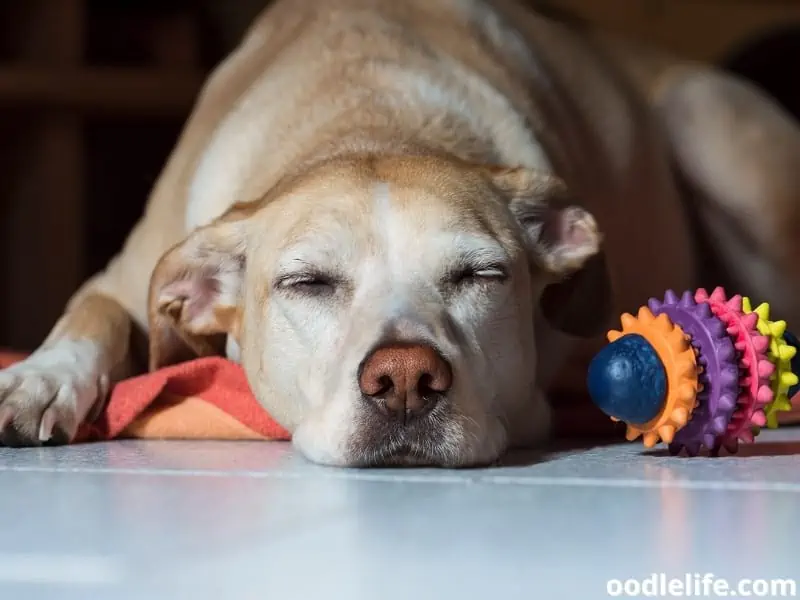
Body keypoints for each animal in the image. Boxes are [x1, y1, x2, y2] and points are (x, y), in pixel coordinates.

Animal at [1, 0, 800, 466]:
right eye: (306, 283)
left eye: (480, 275)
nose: (407, 379)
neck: (370, 112)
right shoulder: (123, 275)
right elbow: (92, 314)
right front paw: (39, 380)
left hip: (708, 119)